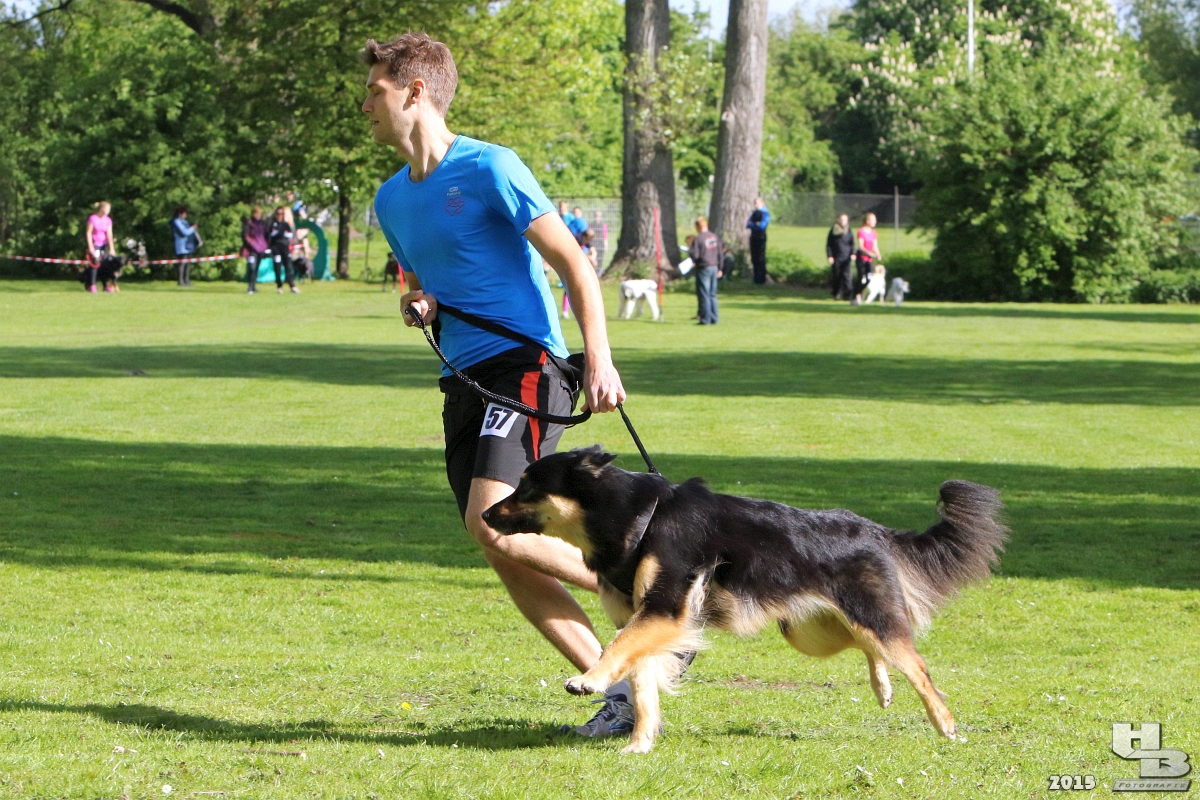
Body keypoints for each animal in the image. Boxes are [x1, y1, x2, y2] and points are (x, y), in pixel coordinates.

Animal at [483, 447, 1006, 753]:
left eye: (528, 485)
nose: (485, 514)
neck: (635, 517)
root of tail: (874, 530)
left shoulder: (666, 610)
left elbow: (616, 650)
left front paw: (588, 680)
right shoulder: (649, 622)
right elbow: (644, 688)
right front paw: (639, 745)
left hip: (863, 616)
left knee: (915, 664)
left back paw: (944, 724)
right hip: (809, 631)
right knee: (871, 647)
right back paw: (882, 687)